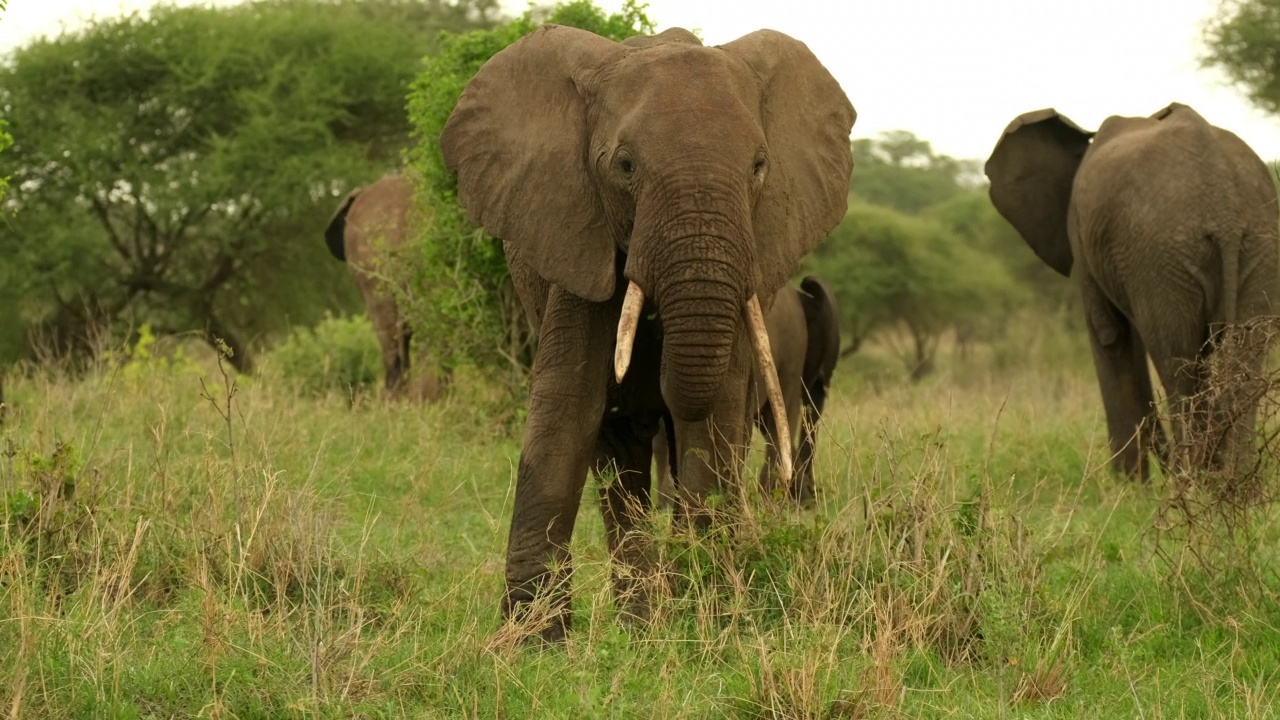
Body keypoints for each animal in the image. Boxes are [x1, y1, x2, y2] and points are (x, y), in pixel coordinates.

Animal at [983, 101, 1274, 479]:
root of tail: (1224, 208)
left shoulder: (1080, 229)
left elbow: (1109, 334)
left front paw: (1129, 484)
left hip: (1160, 257)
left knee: (1176, 362)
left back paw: (1191, 482)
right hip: (1255, 246)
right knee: (1240, 364)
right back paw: (1229, 481)